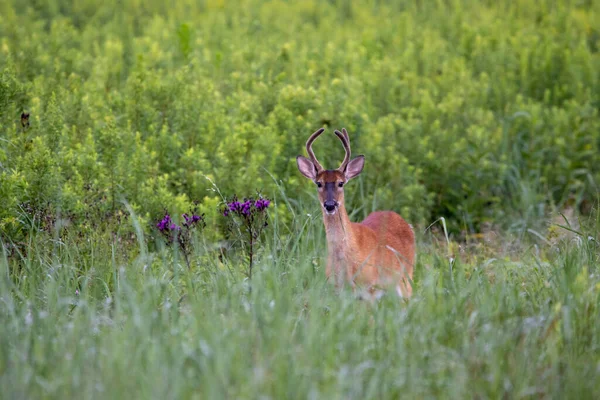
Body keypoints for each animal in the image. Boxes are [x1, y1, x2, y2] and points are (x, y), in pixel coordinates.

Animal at [296, 126, 418, 298]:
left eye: (341, 183)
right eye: (319, 183)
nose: (330, 205)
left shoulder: (369, 288)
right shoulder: (336, 288)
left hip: (406, 277)